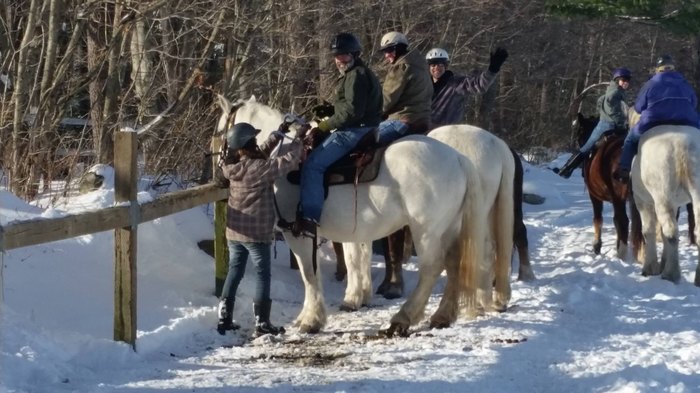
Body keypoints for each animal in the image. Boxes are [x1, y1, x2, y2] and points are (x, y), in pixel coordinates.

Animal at [216, 96, 494, 336]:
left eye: (218, 133)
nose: (221, 171)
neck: (280, 159)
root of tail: (458, 158)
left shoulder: (298, 233)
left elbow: (309, 273)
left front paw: (311, 320)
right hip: (450, 227)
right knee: (454, 264)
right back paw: (441, 316)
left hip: (426, 230)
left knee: (432, 268)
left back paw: (403, 318)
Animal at [628, 124, 700, 284]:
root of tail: (683, 145)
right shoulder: (675, 204)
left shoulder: (642, 201)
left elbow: (648, 231)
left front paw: (650, 267)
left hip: (662, 198)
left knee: (671, 232)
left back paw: (670, 274)